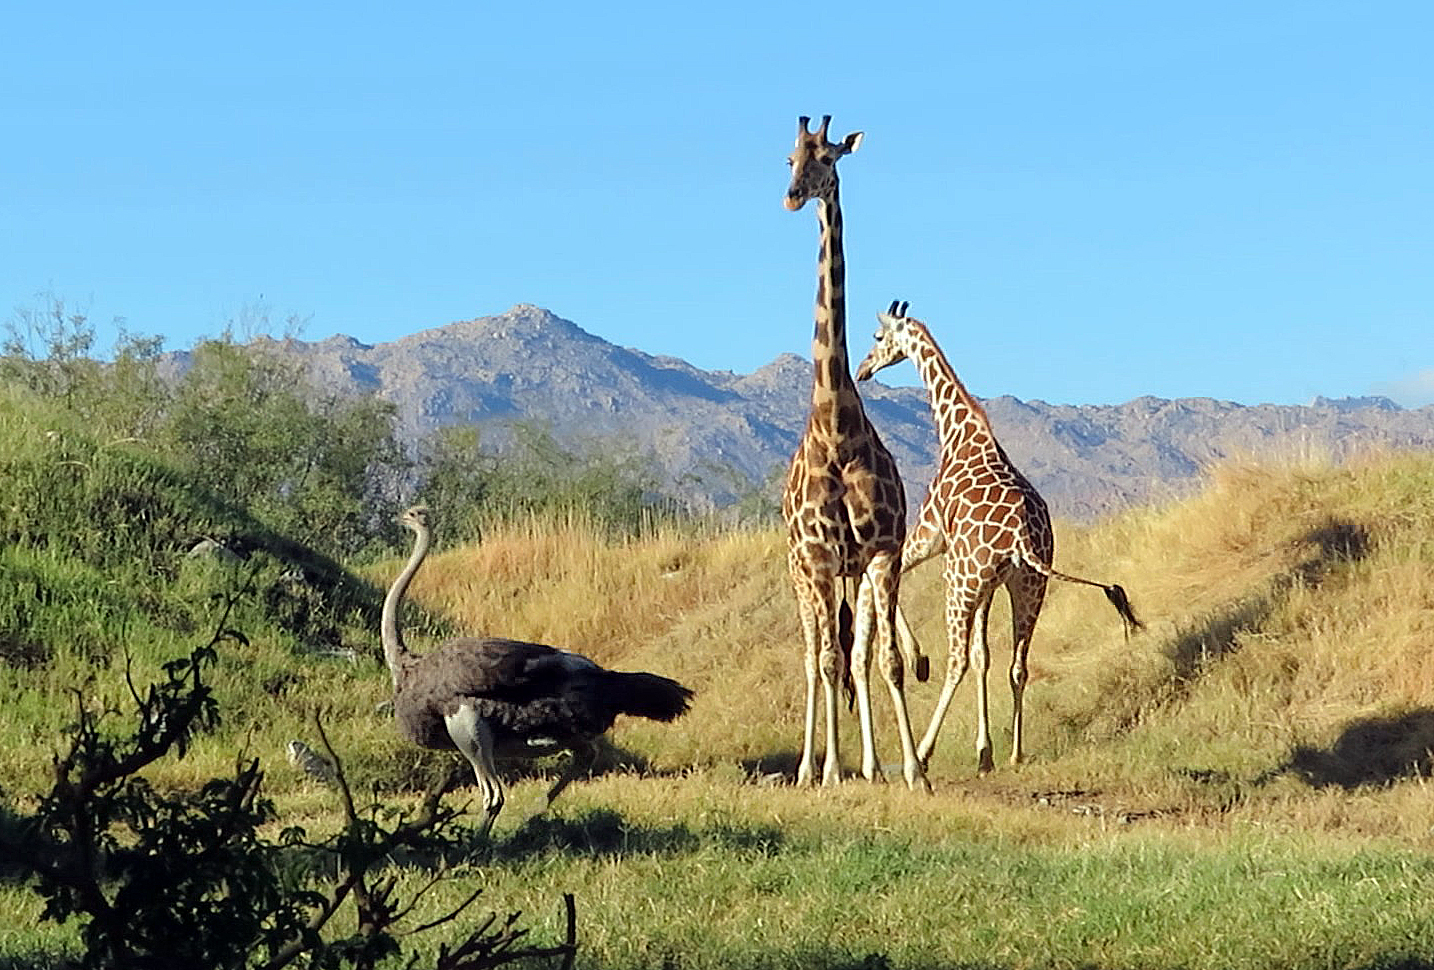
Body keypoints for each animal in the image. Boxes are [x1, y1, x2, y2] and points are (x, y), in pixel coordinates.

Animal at [854, 300, 1142, 774]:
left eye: (878, 338)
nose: (862, 370)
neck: (956, 429)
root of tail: (1023, 537)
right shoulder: (988, 583)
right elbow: (984, 656)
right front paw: (984, 749)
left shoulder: (932, 536)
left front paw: (918, 660)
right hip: (1028, 588)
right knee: (1017, 665)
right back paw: (1014, 752)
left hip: (959, 583)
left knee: (956, 660)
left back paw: (925, 750)